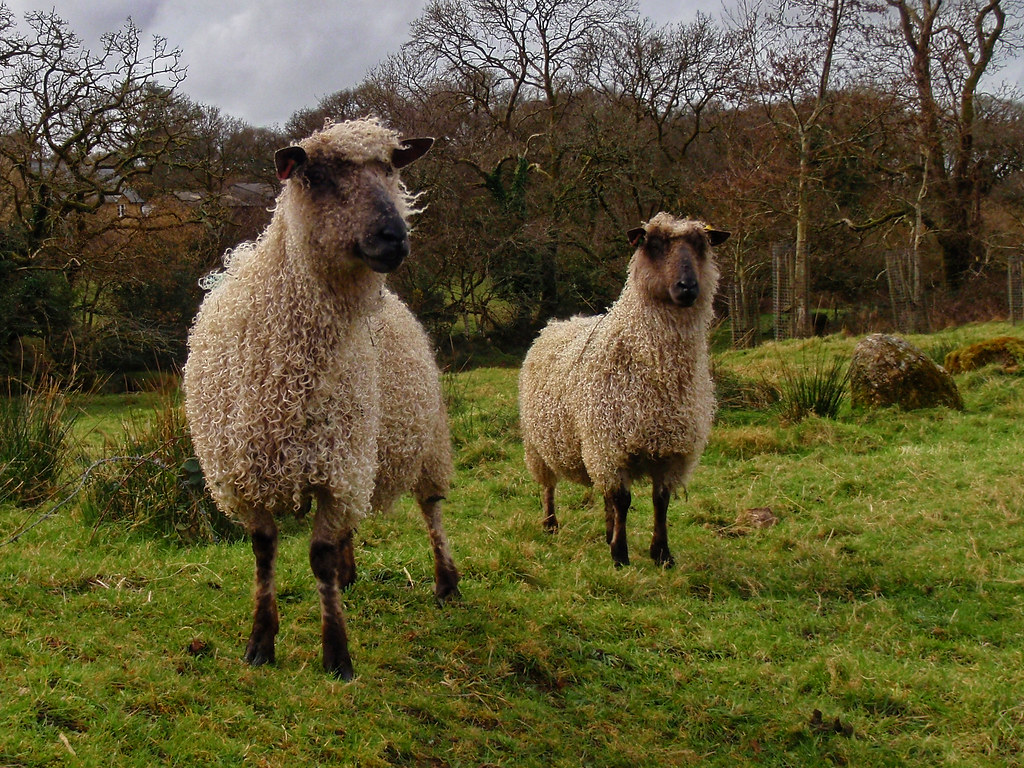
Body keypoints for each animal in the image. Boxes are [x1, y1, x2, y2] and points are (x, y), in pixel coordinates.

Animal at [182, 118, 459, 681]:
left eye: (391, 167)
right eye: (316, 176)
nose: (394, 236)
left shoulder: (337, 466)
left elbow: (320, 556)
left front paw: (337, 655)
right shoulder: (244, 471)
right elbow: (265, 552)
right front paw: (260, 643)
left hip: (421, 440)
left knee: (432, 507)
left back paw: (446, 582)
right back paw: (353, 576)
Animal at [518, 213, 729, 568]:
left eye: (702, 245)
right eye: (653, 244)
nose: (687, 287)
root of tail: (556, 323)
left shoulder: (670, 450)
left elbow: (660, 501)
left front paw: (662, 554)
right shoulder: (609, 443)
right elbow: (623, 500)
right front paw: (620, 554)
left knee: (604, 494)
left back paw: (605, 532)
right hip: (539, 444)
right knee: (548, 486)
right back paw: (550, 524)